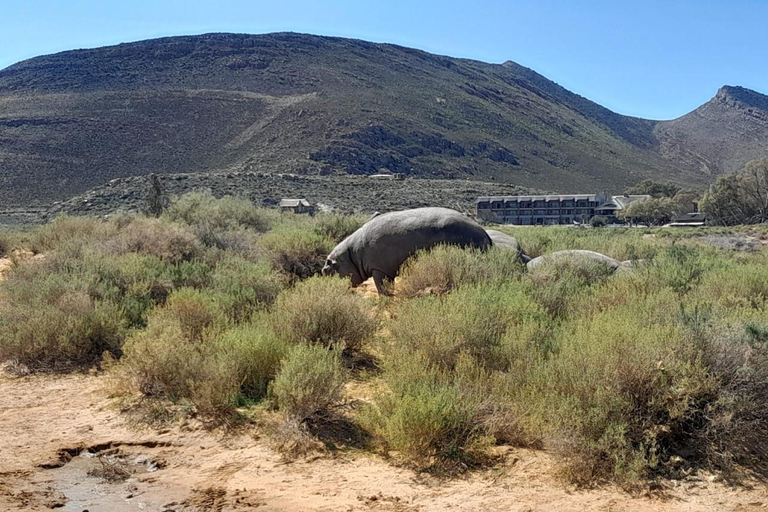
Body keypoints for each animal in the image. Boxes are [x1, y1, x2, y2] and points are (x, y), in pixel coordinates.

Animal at [320, 206, 488, 294]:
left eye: (326, 267)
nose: (325, 289)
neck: (352, 255)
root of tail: (485, 233)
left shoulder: (380, 270)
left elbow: (383, 289)